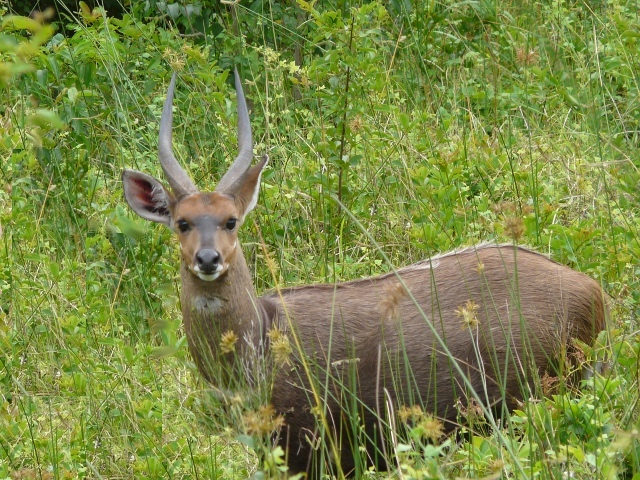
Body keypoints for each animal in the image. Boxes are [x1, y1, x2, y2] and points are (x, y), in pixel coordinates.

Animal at [122, 71, 608, 476]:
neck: (259, 342)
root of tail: (595, 293)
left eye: (231, 221)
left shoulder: (314, 445)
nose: (208, 259)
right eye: (182, 222)